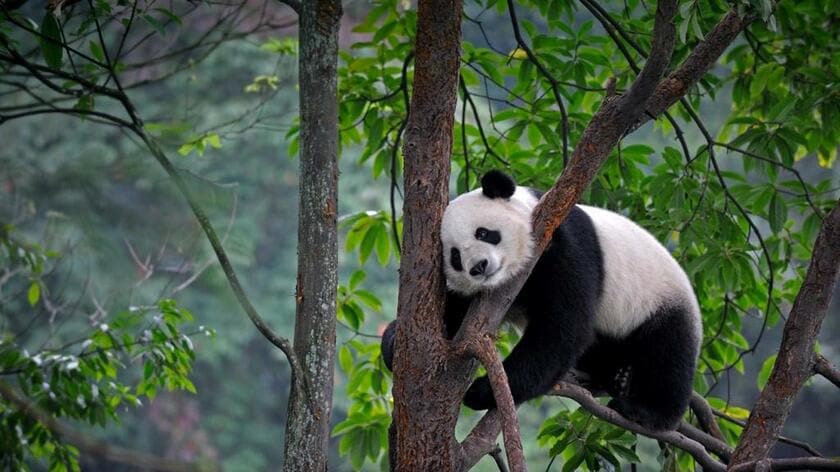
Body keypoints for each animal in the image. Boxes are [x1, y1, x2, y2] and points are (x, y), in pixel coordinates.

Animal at [386, 171, 704, 432]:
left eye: (484, 233)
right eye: (454, 256)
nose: (478, 266)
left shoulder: (563, 245)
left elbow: (561, 330)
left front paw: (482, 391)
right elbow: (454, 320)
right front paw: (394, 342)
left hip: (659, 299)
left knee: (668, 352)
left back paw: (646, 411)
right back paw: (609, 377)